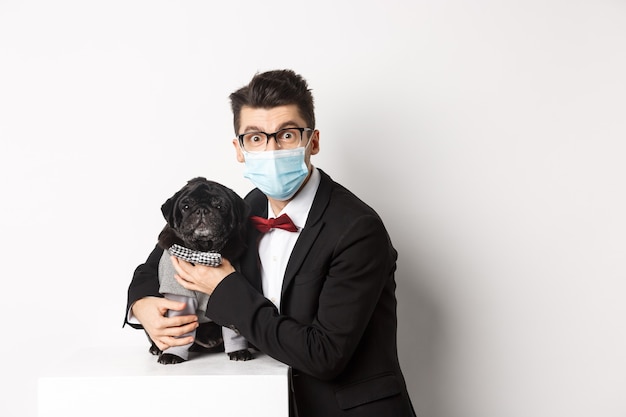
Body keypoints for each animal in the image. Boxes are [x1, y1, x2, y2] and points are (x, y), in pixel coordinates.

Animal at [147, 177, 252, 362]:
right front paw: (171, 354)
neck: (203, 252)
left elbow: (233, 330)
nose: (202, 210)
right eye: (186, 206)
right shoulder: (180, 297)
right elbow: (179, 331)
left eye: (220, 206)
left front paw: (239, 351)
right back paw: (157, 348)